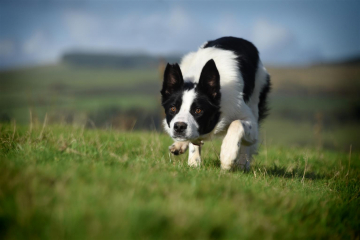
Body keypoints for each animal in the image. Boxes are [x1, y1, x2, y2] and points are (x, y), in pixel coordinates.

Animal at [160, 36, 270, 171]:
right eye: (173, 108)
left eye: (198, 110)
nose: (179, 127)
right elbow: (195, 141)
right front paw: (194, 164)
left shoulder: (250, 122)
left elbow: (237, 123)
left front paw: (228, 156)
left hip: (256, 96)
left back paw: (243, 164)